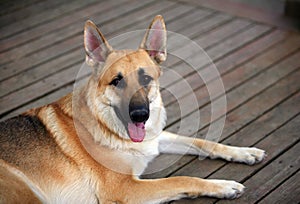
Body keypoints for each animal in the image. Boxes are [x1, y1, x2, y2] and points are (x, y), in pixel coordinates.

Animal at [1, 16, 266, 204]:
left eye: (146, 78)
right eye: (116, 81)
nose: (140, 115)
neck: (107, 126)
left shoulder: (156, 139)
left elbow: (202, 142)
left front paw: (243, 152)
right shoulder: (126, 188)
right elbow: (179, 179)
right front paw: (223, 186)